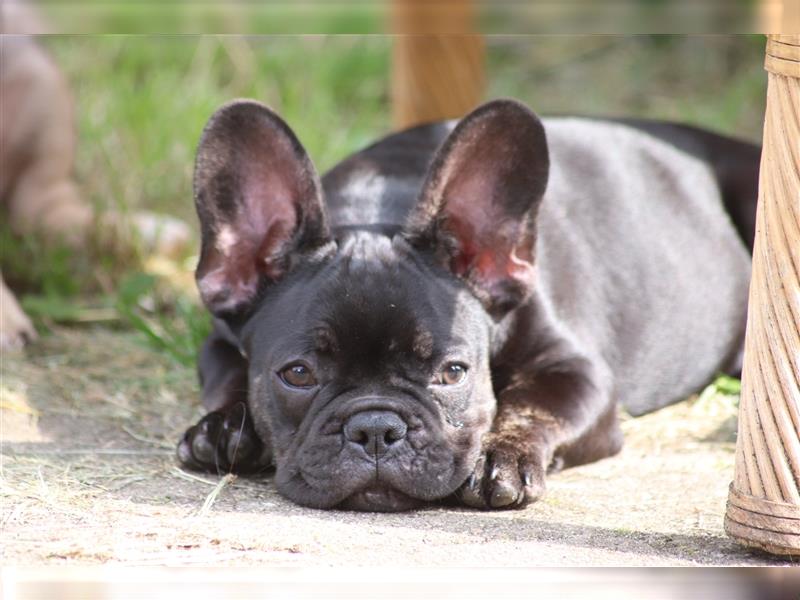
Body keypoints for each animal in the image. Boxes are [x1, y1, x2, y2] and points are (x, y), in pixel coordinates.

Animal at [178, 99, 760, 510]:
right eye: (297, 374)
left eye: (453, 372)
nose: (374, 429)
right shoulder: (217, 340)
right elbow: (227, 376)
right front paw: (224, 429)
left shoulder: (579, 372)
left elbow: (532, 406)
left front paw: (499, 457)